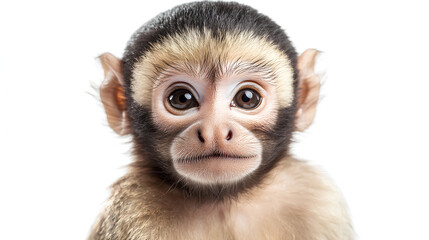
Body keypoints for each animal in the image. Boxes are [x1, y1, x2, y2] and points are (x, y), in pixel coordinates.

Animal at [89, 1, 352, 240]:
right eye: (182, 99)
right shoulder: (134, 210)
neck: (222, 202)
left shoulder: (319, 200)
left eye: (247, 98)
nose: (214, 131)